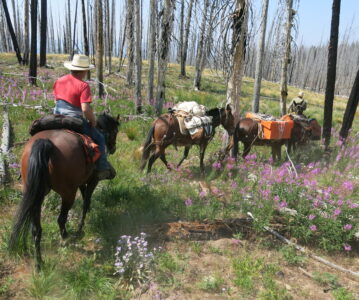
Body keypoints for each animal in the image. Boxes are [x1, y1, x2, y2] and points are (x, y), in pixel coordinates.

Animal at [8, 112, 120, 270]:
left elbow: (85, 197)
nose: (113, 148)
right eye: (115, 131)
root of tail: (45, 143)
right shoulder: (93, 180)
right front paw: (80, 227)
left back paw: (39, 263)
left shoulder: (80, 182)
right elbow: (86, 201)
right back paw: (67, 237)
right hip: (68, 194)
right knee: (61, 219)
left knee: (36, 229)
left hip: (37, 195)